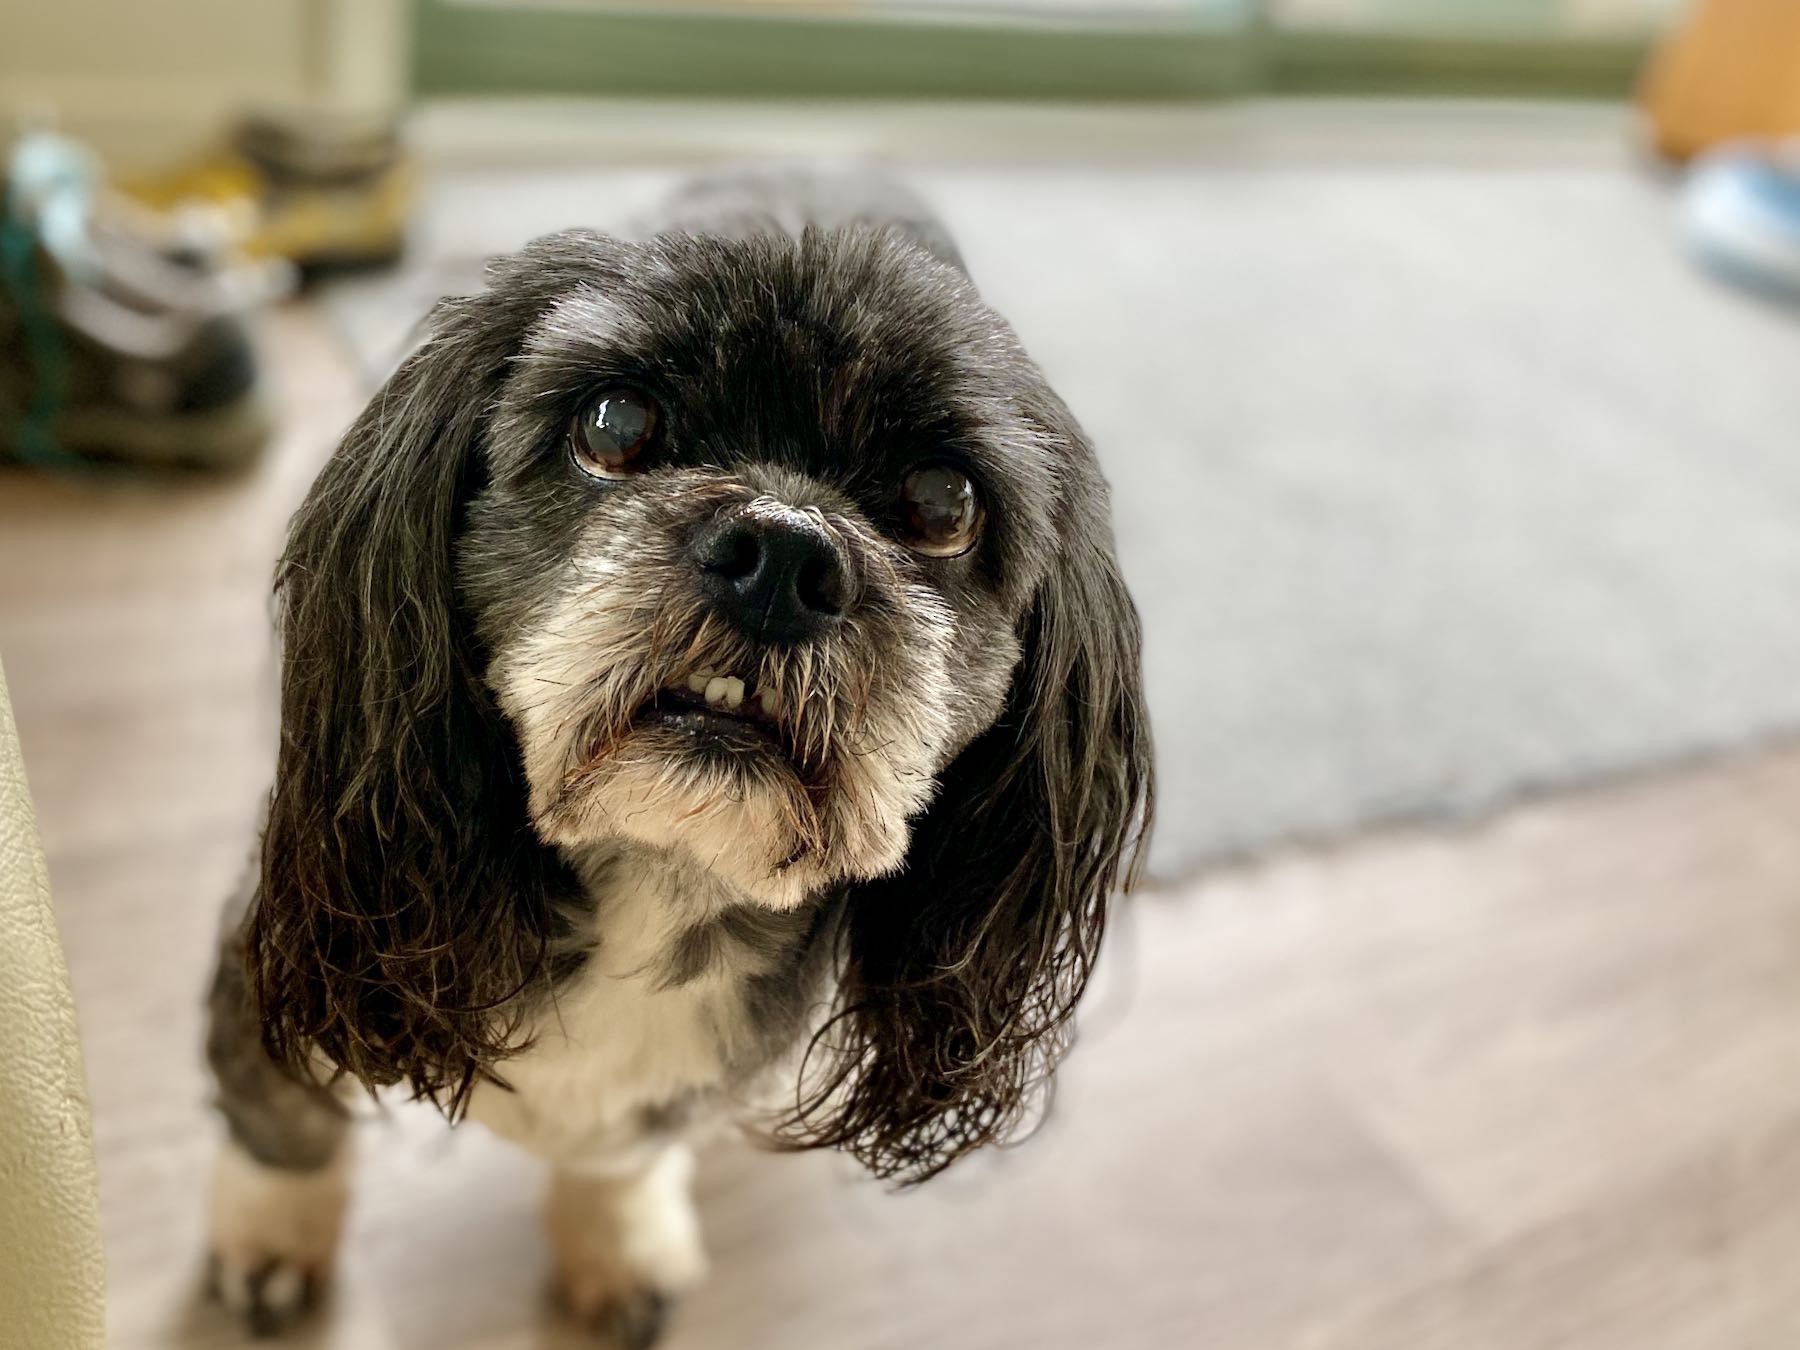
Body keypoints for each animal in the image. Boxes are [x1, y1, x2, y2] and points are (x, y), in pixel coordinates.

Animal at [200, 169, 1152, 1346]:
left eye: (944, 504)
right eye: (614, 424)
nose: (783, 554)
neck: (659, 878)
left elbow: (623, 1155)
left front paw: (617, 1240)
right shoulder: (297, 949)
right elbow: (282, 1116)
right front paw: (272, 1242)